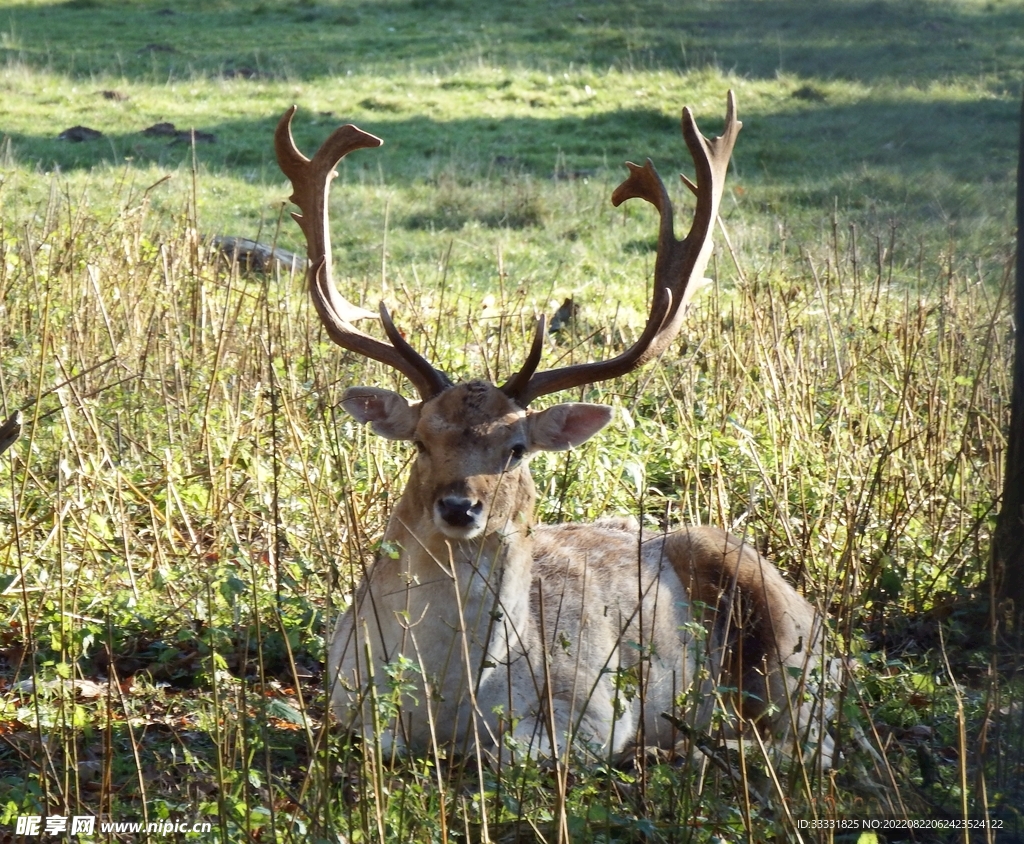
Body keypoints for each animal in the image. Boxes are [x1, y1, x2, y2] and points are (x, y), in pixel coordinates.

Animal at [275, 92, 837, 767]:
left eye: (516, 449)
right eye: (420, 441)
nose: (460, 507)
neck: (442, 705)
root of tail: (827, 631)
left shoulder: (595, 706)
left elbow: (510, 753)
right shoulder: (343, 697)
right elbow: (380, 742)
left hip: (787, 649)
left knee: (809, 741)